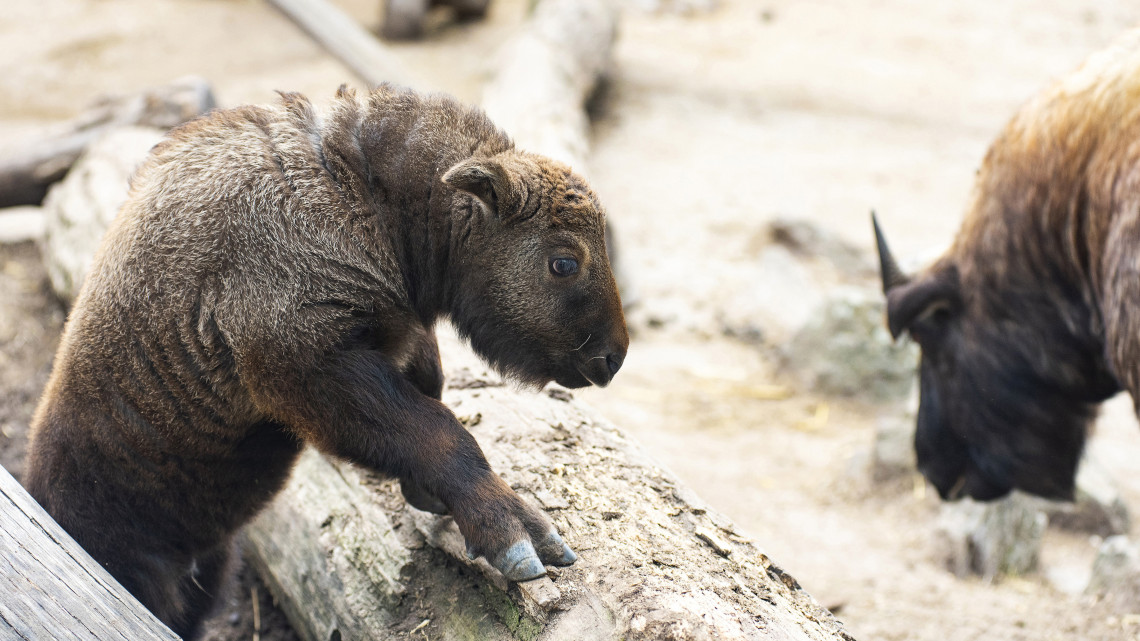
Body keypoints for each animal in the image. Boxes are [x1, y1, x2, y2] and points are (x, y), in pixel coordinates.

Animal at [26, 83, 629, 634]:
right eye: (563, 262)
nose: (613, 357)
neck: (364, 195)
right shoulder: (313, 372)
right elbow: (439, 431)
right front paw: (519, 536)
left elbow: (430, 396)